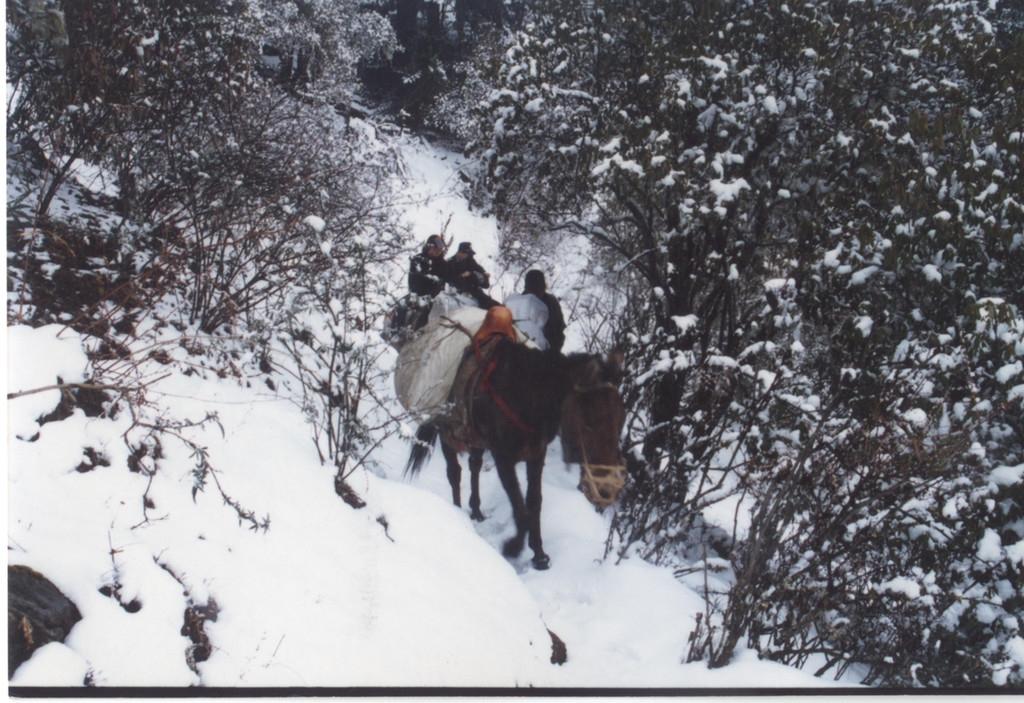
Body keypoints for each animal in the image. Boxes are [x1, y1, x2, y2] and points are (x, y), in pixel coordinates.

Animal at [405, 335, 626, 573]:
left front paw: (539, 554)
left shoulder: (536, 456)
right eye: (588, 423)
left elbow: (534, 502)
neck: (525, 398)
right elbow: (519, 506)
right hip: (448, 436)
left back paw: (476, 510)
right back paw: (456, 511)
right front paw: (513, 546)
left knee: (474, 465)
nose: (607, 489)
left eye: (621, 421)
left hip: (476, 439)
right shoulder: (503, 458)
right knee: (454, 473)